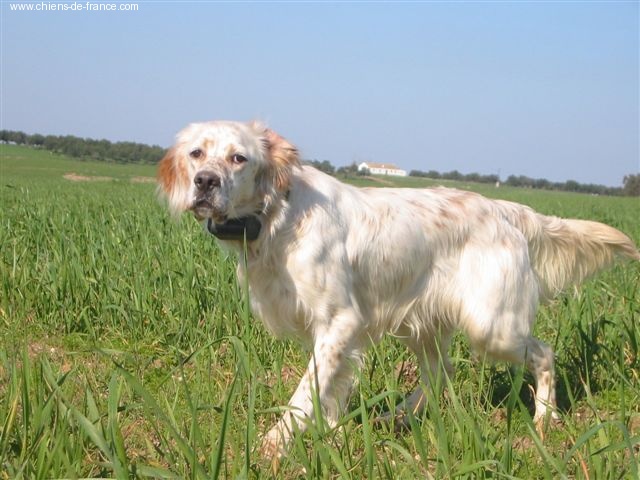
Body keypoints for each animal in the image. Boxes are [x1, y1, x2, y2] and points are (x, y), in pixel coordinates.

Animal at [157, 120, 639, 461]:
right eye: (196, 153)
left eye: (239, 157)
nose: (205, 181)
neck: (278, 214)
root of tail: (506, 208)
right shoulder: (335, 334)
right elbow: (327, 391)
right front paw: (332, 437)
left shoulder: (339, 321)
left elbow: (302, 395)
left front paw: (271, 445)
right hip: (421, 323)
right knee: (440, 370)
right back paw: (399, 417)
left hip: (492, 326)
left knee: (543, 354)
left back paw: (544, 419)